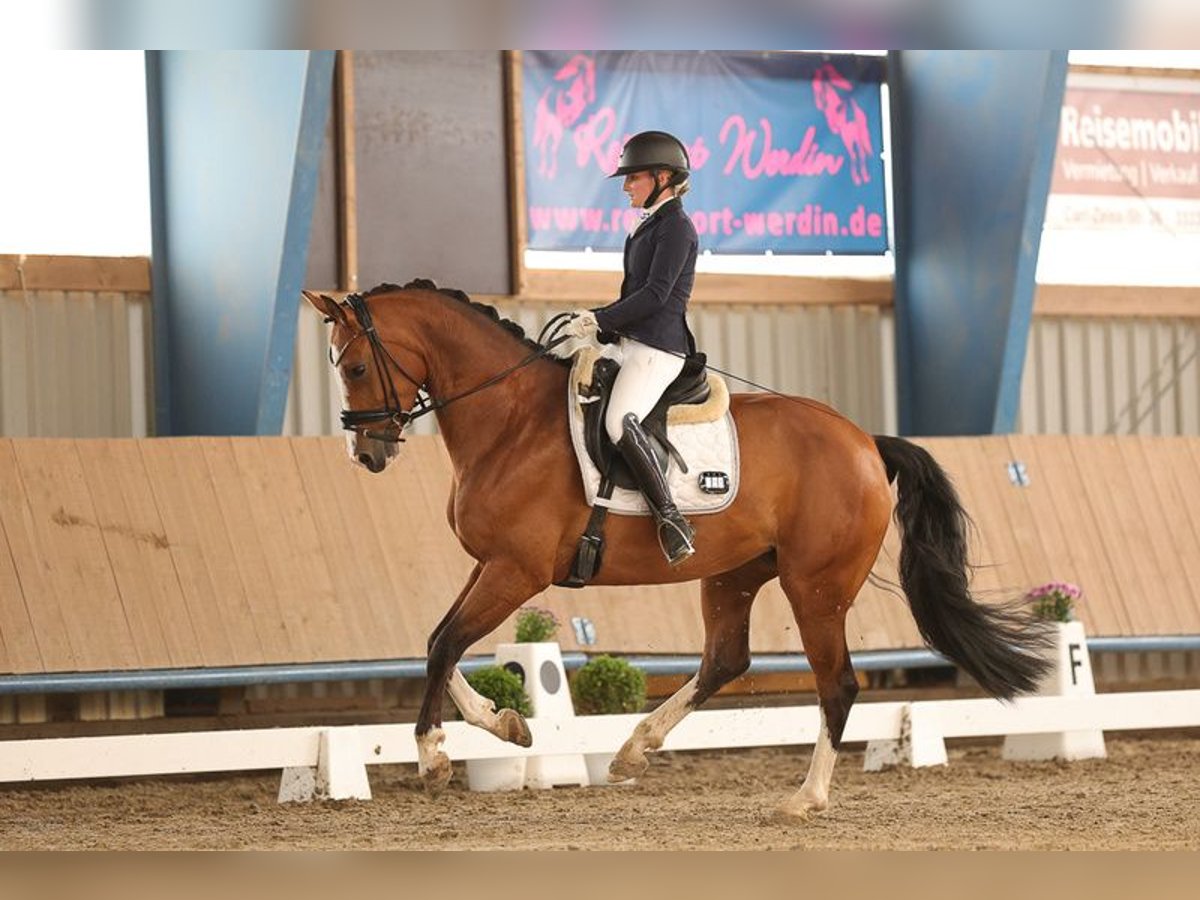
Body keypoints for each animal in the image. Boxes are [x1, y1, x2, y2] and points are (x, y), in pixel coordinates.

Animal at [302, 280, 1053, 821]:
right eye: (338, 365)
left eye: (359, 364)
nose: (369, 453)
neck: (509, 420)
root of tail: (866, 441)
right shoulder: (490, 565)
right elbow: (439, 642)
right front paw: (508, 724)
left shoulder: (517, 570)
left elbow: (445, 644)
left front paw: (432, 756)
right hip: (735, 574)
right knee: (726, 659)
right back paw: (634, 752)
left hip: (815, 587)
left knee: (836, 684)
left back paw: (804, 799)